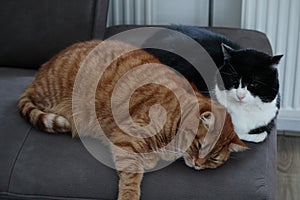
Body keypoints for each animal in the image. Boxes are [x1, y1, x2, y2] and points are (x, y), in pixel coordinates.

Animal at [19, 39, 248, 199]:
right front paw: (130, 194)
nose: (199, 165)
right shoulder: (126, 138)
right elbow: (132, 176)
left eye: (214, 159)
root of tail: (38, 74)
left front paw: (151, 157)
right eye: (200, 146)